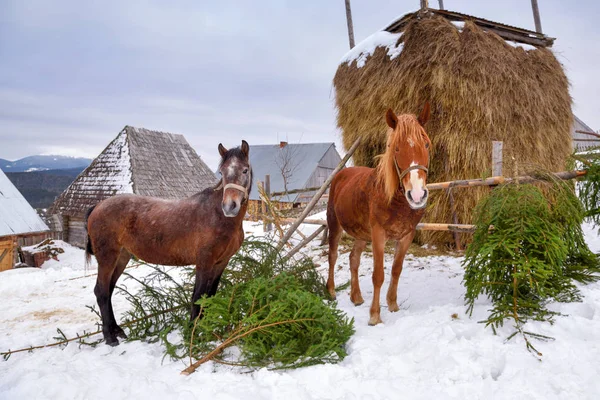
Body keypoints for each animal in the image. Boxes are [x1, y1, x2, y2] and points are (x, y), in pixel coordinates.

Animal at [85, 140, 252, 344]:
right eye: (222, 172)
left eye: (245, 170)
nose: (229, 206)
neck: (219, 217)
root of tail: (98, 206)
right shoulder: (204, 262)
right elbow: (197, 296)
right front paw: (192, 334)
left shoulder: (221, 262)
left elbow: (209, 296)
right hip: (107, 258)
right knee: (101, 292)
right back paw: (110, 337)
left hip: (121, 257)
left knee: (108, 290)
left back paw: (117, 331)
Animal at [328, 105, 432, 324]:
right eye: (396, 148)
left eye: (426, 145)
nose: (417, 195)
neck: (393, 199)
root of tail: (340, 175)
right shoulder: (378, 234)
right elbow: (378, 275)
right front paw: (375, 316)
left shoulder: (406, 236)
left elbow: (396, 270)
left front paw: (392, 305)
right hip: (334, 224)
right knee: (332, 255)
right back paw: (331, 292)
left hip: (361, 234)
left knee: (353, 259)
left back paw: (356, 297)